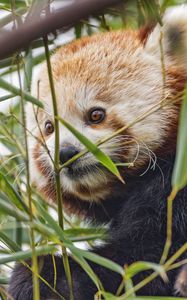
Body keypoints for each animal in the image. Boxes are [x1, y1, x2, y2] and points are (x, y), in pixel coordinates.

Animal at [9, 5, 187, 300]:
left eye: (95, 115)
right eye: (48, 127)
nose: (65, 153)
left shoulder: (175, 190)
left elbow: (145, 262)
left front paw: (46, 275)